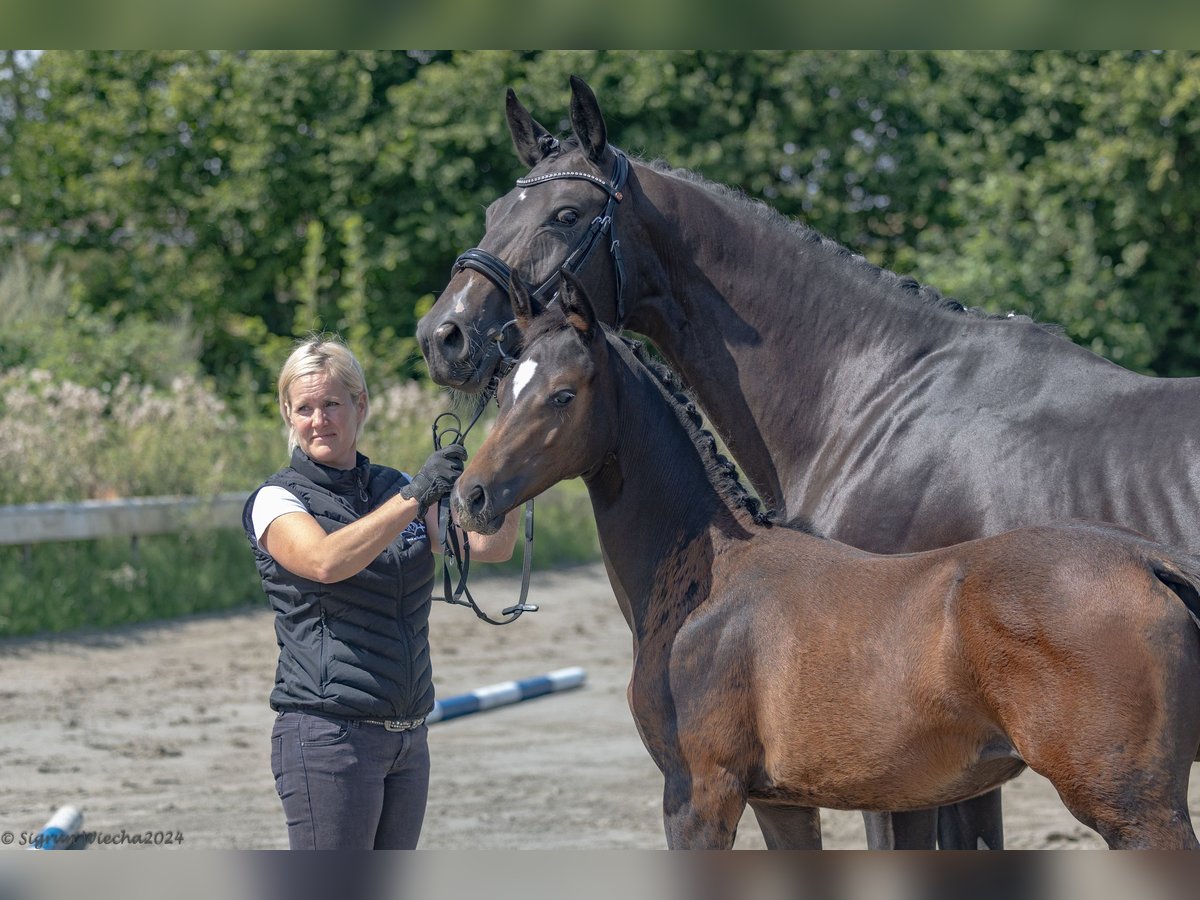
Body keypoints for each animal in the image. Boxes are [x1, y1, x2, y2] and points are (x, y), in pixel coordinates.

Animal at [415, 74, 1200, 849]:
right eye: (493, 209)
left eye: (567, 213)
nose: (444, 334)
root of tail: (1152, 562)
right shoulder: (787, 800)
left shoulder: (705, 795)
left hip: (1133, 809)